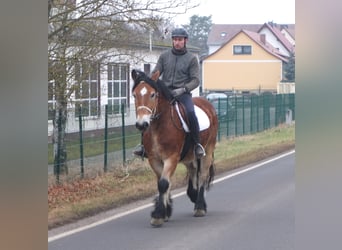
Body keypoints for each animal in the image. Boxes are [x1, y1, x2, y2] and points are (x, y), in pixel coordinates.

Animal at [131, 69, 219, 227]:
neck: (159, 126)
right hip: (189, 156)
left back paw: (200, 206)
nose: (142, 124)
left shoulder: (171, 157)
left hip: (208, 151)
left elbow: (164, 183)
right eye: (135, 95)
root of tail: (207, 104)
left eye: (152, 94)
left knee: (202, 175)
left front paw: (158, 214)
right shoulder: (154, 159)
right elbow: (162, 183)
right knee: (193, 170)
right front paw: (165, 211)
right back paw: (193, 195)